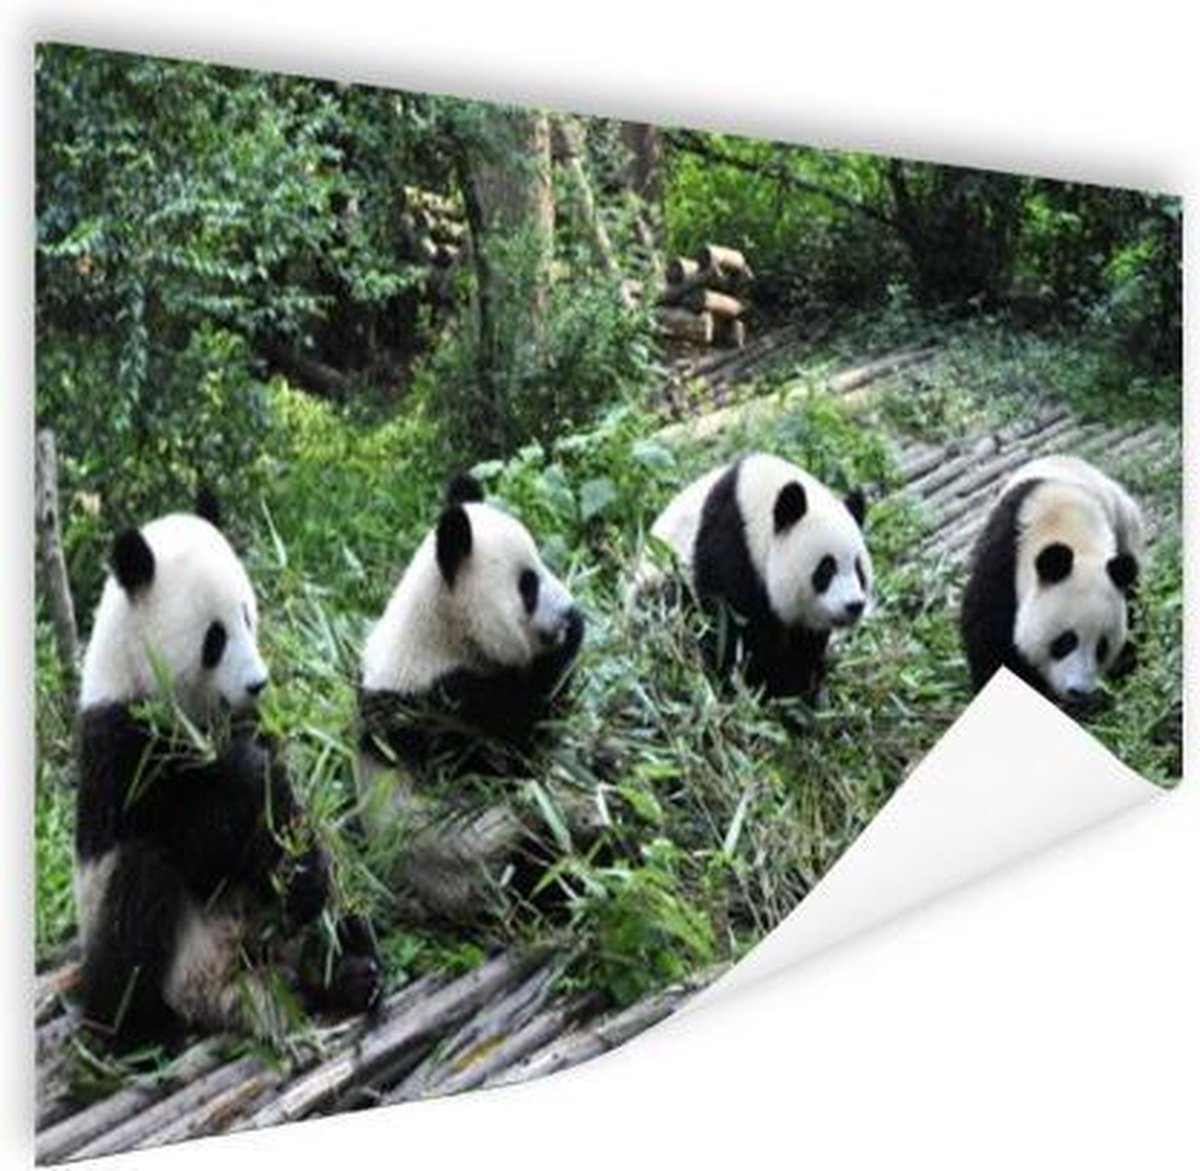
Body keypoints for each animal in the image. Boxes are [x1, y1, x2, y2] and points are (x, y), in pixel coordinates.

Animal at [74, 490, 380, 1050]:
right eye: (214, 638)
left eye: (247, 616)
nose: (258, 684)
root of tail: (228, 992)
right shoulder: (122, 741)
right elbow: (195, 840)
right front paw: (245, 774)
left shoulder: (257, 723)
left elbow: (291, 820)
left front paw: (299, 872)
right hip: (155, 943)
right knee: (141, 889)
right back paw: (139, 1034)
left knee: (342, 889)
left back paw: (345, 972)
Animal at [356, 472, 587, 928]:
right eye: (528, 585)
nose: (568, 608)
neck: (438, 633)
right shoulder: (442, 708)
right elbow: (517, 750)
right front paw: (571, 637)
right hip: (481, 859)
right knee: (544, 855)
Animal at [639, 452, 873, 703]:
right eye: (826, 569)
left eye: (859, 570)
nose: (854, 605)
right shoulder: (729, 547)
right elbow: (730, 629)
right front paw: (756, 687)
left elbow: (804, 645)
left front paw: (799, 687)